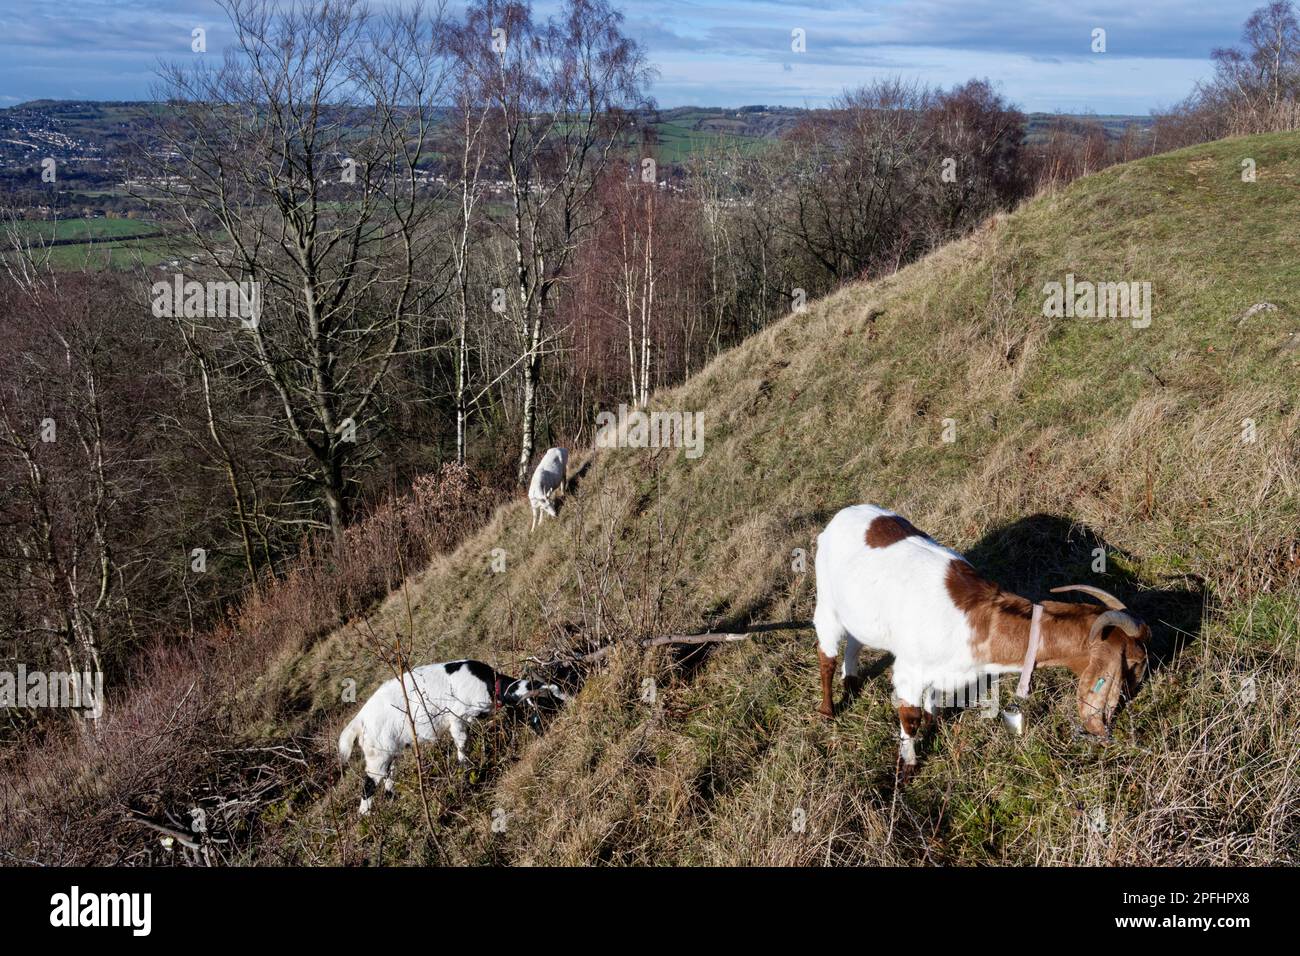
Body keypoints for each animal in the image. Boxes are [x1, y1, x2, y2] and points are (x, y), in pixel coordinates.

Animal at [340, 660, 569, 811]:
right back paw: (367, 816)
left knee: (388, 777)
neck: (489, 683)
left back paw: (392, 798)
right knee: (368, 785)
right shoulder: (458, 717)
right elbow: (462, 745)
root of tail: (359, 720)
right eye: (546, 702)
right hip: (377, 755)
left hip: (390, 753)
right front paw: (466, 771)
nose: (569, 706)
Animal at [811, 504, 1149, 775]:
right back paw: (828, 711)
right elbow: (911, 717)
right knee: (826, 656)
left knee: (855, 642)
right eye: (1134, 662)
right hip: (827, 603)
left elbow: (933, 704)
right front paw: (907, 767)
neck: (978, 618)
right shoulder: (909, 672)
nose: (1136, 693)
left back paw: (851, 683)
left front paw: (934, 726)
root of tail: (843, 514)